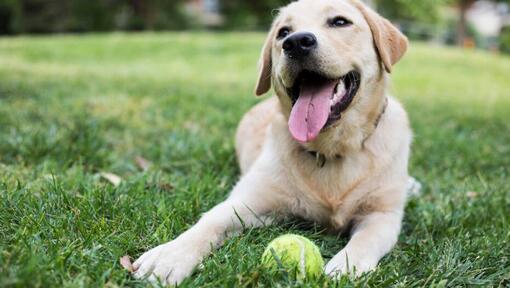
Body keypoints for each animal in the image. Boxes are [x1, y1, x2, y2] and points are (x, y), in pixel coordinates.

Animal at [133, 0, 412, 284]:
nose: (296, 42)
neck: (328, 149)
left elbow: (366, 240)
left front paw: (346, 266)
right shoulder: (250, 202)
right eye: (283, 32)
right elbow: (210, 221)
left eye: (340, 22)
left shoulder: (382, 216)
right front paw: (170, 255)